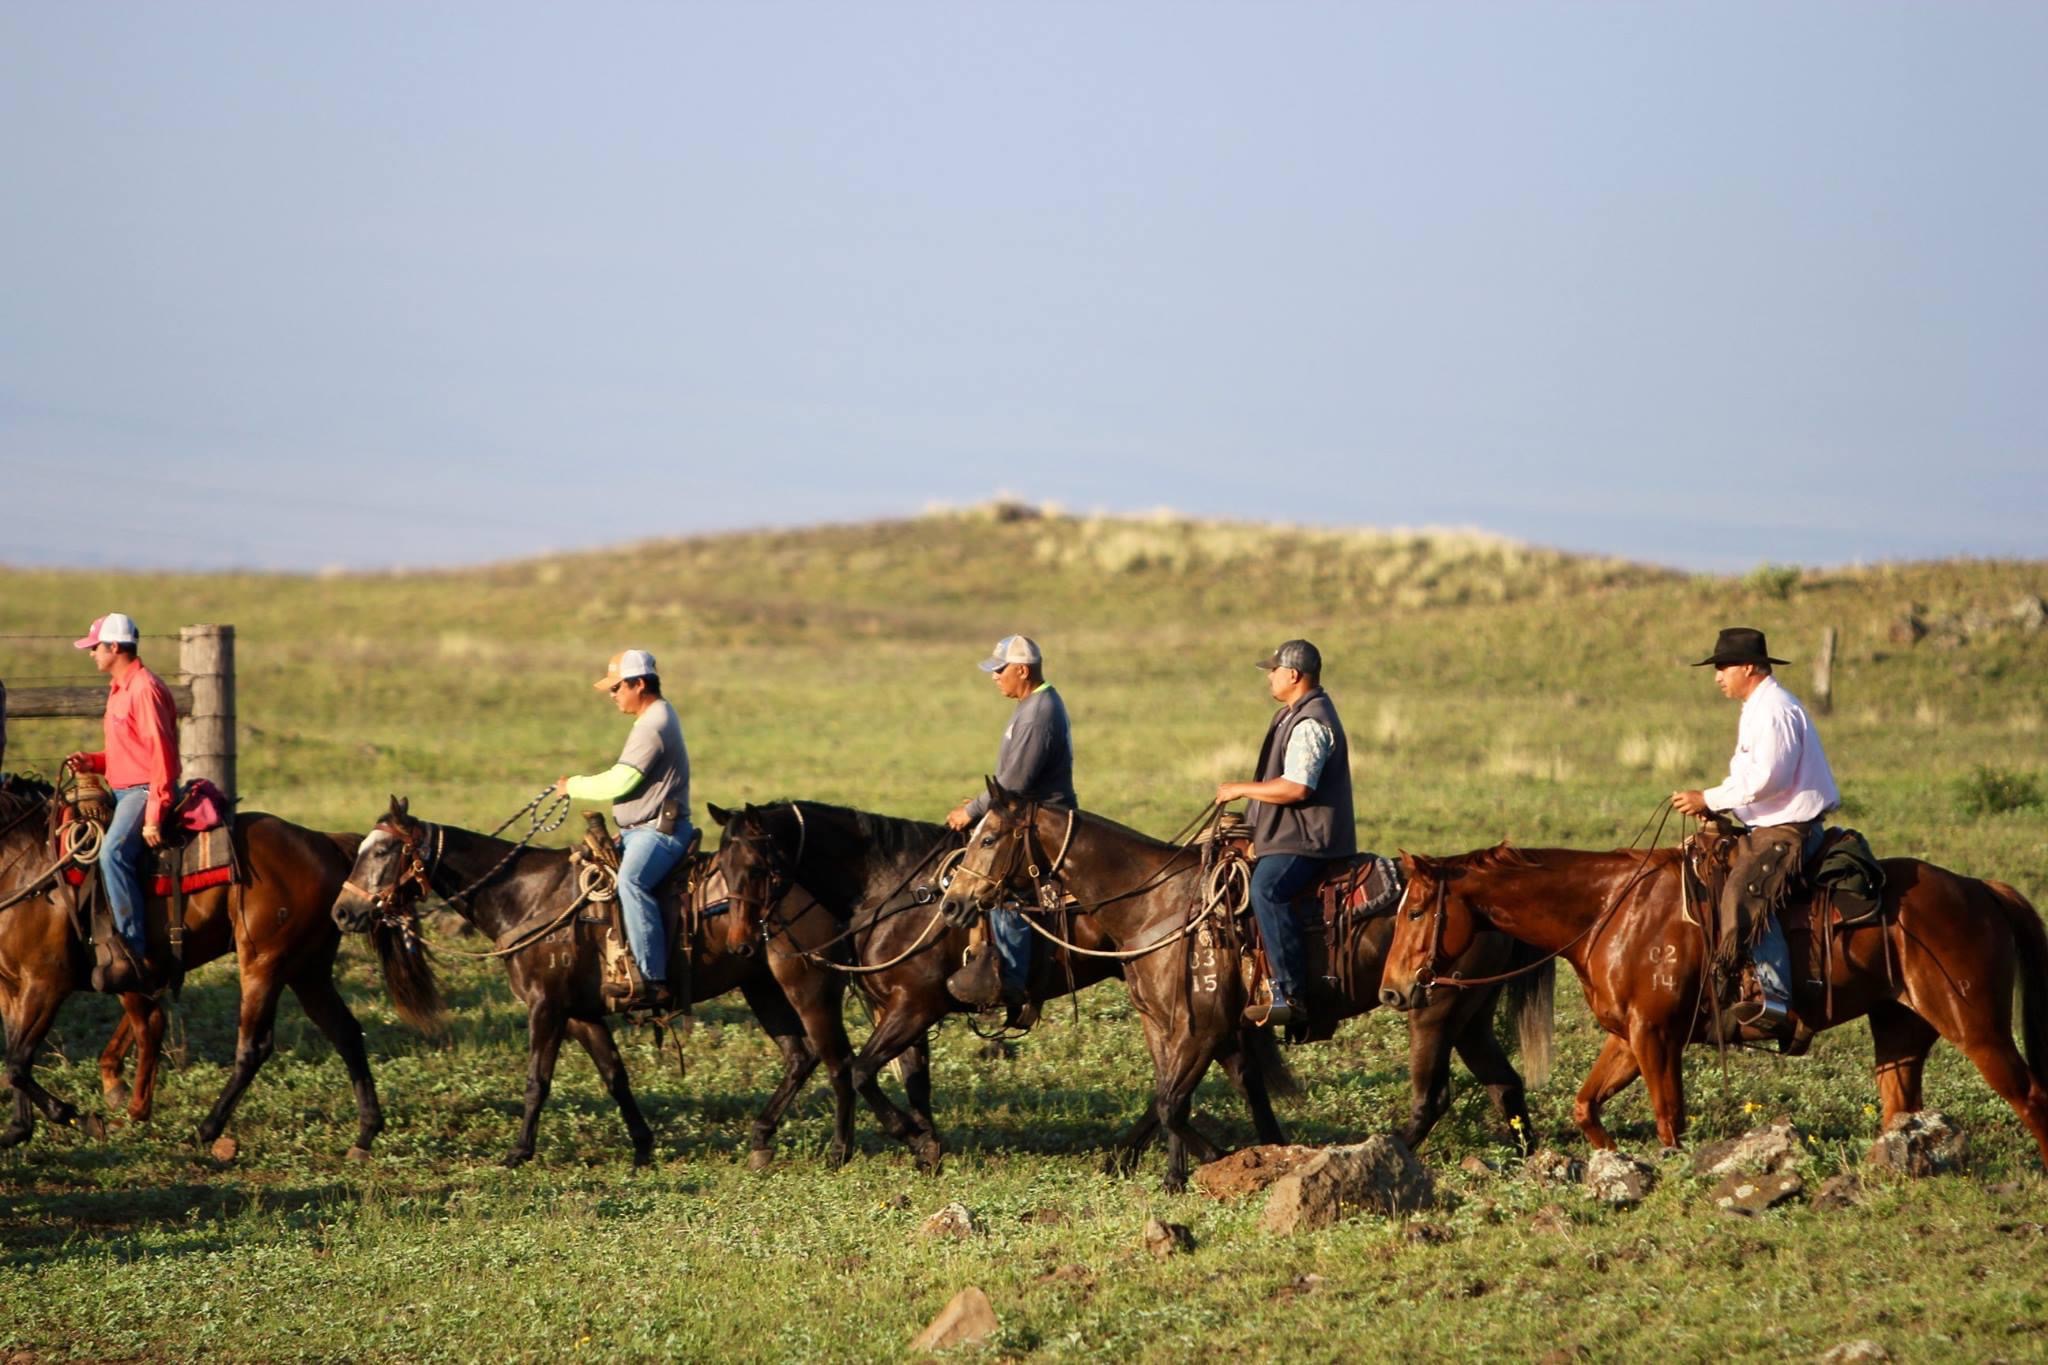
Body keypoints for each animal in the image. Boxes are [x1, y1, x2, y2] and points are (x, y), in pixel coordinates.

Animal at [0, 773, 387, 1162]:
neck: (29, 867)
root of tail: (324, 842)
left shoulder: (47, 983)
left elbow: (17, 1062)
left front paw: (76, 1117)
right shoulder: (12, 989)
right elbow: (15, 1055)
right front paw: (19, 1128)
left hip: (263, 964)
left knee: (252, 1047)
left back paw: (204, 1130)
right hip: (308, 970)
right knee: (345, 1032)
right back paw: (365, 1134)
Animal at [331, 794, 860, 1170]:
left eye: (383, 850)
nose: (343, 912)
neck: (525, 894)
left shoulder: (545, 1007)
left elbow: (537, 1081)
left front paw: (518, 1152)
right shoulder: (581, 1013)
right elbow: (614, 1076)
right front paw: (643, 1147)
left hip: (809, 987)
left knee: (836, 1059)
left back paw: (839, 1149)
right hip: (762, 987)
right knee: (800, 1056)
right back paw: (761, 1140)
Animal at [712, 802, 1318, 1178]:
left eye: (759, 865)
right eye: (720, 863)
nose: (742, 941)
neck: (897, 892)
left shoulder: (914, 1007)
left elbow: (861, 1072)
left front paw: (910, 1140)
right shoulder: (899, 1012)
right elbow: (910, 1083)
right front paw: (925, 1147)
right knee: (1228, 1068)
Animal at [1376, 839, 2048, 1170]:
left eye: (1416, 910)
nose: (1392, 989)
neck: (1611, 910)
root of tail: (1979, 889)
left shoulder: (1656, 1036)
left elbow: (1670, 1119)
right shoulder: (1628, 1037)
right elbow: (1586, 1107)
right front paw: (1615, 1169)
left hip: (1976, 1027)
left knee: (2031, 1097)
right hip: (1900, 1031)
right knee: (1899, 1112)